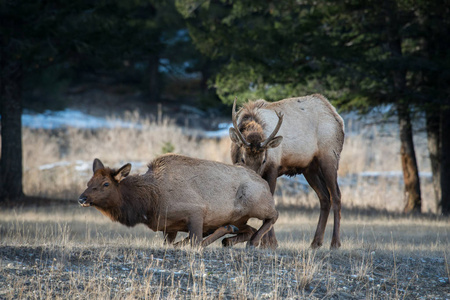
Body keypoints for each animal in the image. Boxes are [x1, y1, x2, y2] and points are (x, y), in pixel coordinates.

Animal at [79, 154, 280, 247]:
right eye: (89, 182)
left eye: (106, 184)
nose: (82, 198)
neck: (149, 203)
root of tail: (263, 181)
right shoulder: (168, 227)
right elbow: (172, 244)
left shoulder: (196, 211)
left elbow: (195, 242)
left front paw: (224, 230)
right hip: (240, 218)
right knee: (251, 228)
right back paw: (234, 240)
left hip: (255, 201)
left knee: (274, 214)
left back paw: (251, 241)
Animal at [230, 94, 346, 248]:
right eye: (242, 159)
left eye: (264, 160)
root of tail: (337, 117)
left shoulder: (273, 168)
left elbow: (270, 202)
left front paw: (269, 243)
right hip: (310, 168)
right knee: (325, 197)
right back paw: (315, 242)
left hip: (330, 157)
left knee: (336, 196)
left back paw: (335, 243)